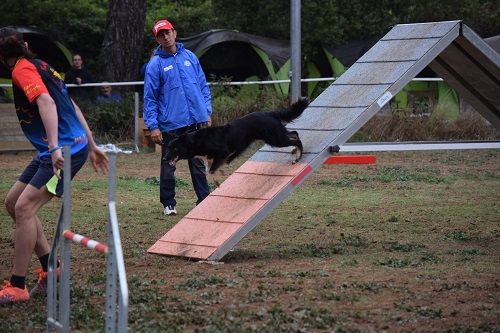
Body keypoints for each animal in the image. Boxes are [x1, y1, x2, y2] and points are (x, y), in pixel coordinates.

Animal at [167, 96, 308, 172]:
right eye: (168, 148)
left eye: (174, 148)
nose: (164, 159)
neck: (196, 140)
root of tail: (269, 113)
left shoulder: (222, 151)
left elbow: (213, 167)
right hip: (277, 135)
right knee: (294, 133)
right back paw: (295, 151)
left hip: (275, 139)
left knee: (296, 139)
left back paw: (297, 157)